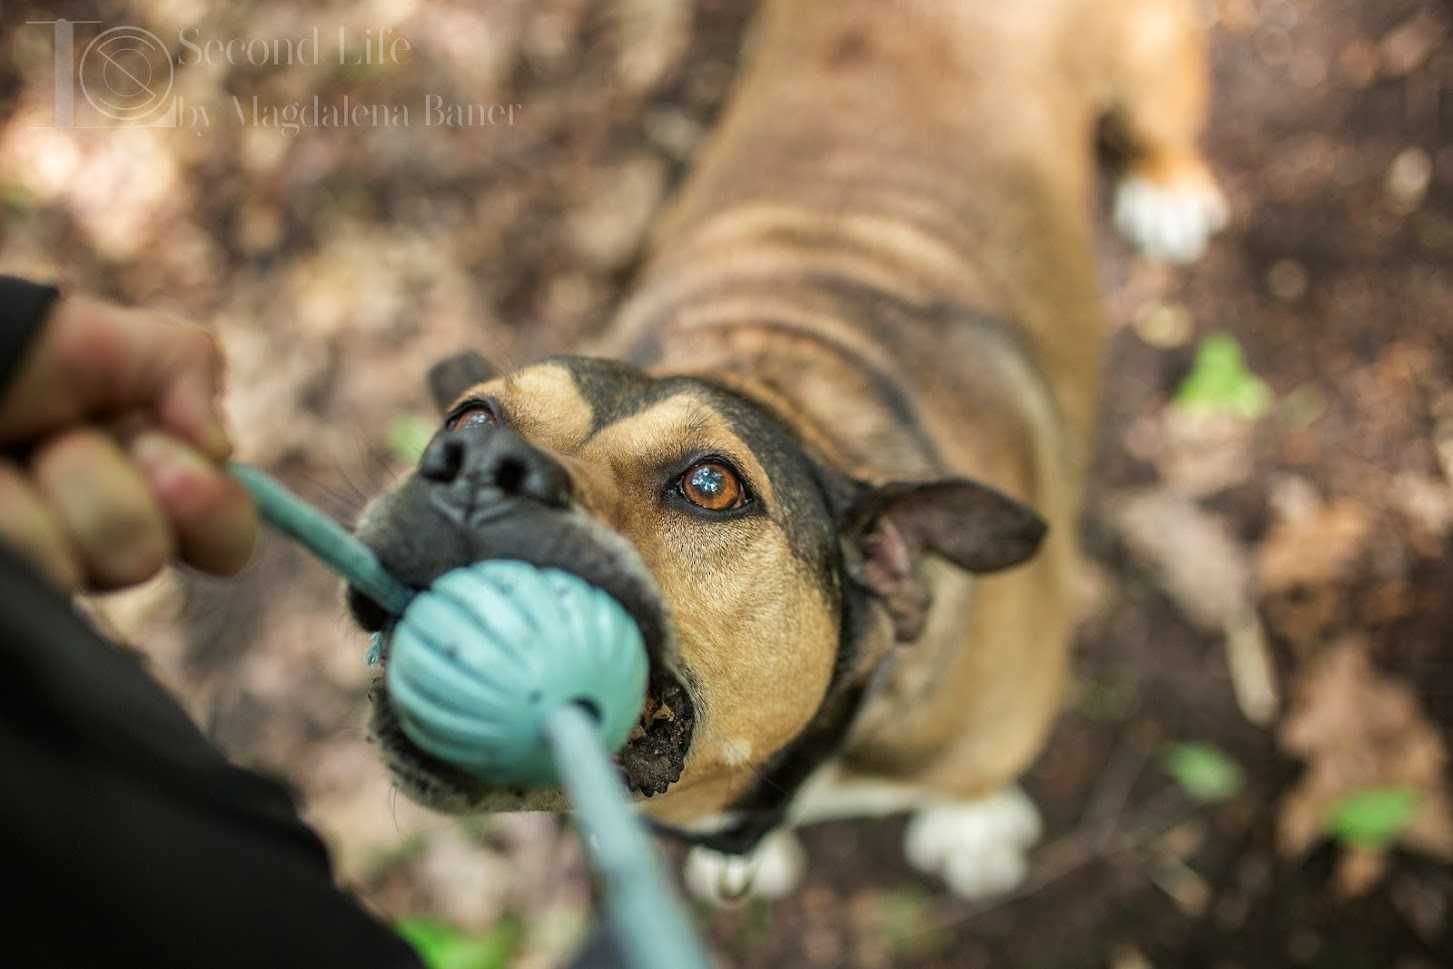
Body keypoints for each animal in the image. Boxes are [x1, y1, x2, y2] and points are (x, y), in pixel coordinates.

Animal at [345, 0, 1220, 906]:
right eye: (468, 420)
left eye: (710, 484)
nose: (479, 471)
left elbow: (971, 779)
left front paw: (972, 829)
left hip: (1153, 65)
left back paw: (1169, 192)